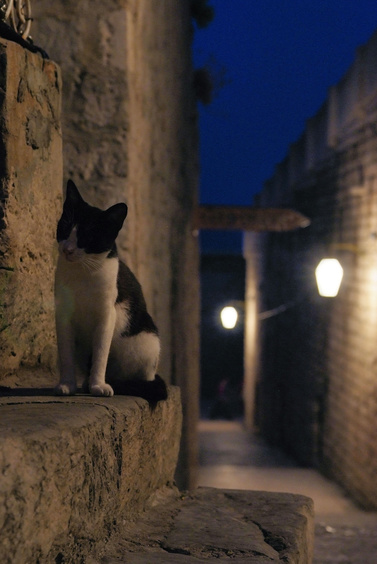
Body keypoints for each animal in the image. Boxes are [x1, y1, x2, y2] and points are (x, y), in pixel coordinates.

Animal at [53, 178, 167, 404]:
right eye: (65, 226)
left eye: (87, 236)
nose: (67, 249)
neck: (82, 273)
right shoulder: (63, 316)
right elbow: (66, 354)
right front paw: (67, 384)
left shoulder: (107, 315)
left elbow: (100, 354)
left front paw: (98, 385)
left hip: (145, 343)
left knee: (139, 378)